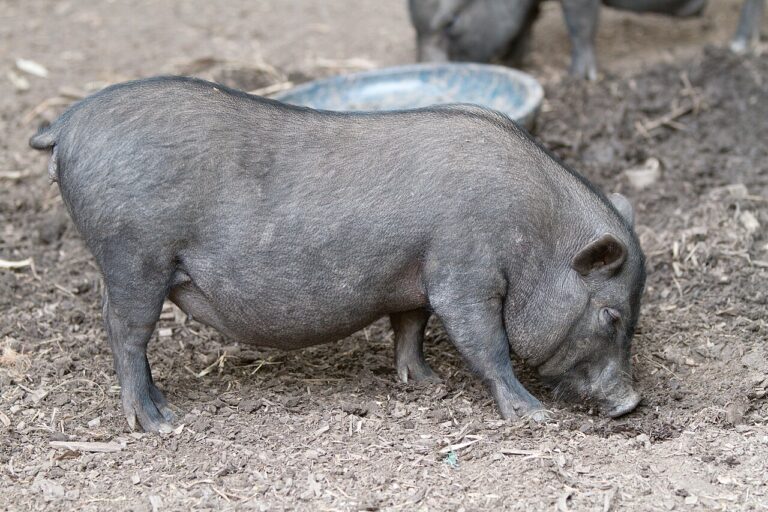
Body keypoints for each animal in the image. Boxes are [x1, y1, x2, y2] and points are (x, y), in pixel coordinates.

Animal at [28, 76, 640, 432]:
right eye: (612, 316)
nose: (631, 402)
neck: (535, 232)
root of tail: (68, 122)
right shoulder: (464, 274)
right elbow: (486, 344)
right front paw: (530, 414)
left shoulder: (415, 276)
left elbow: (410, 326)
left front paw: (427, 384)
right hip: (134, 256)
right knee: (125, 334)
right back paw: (159, 423)